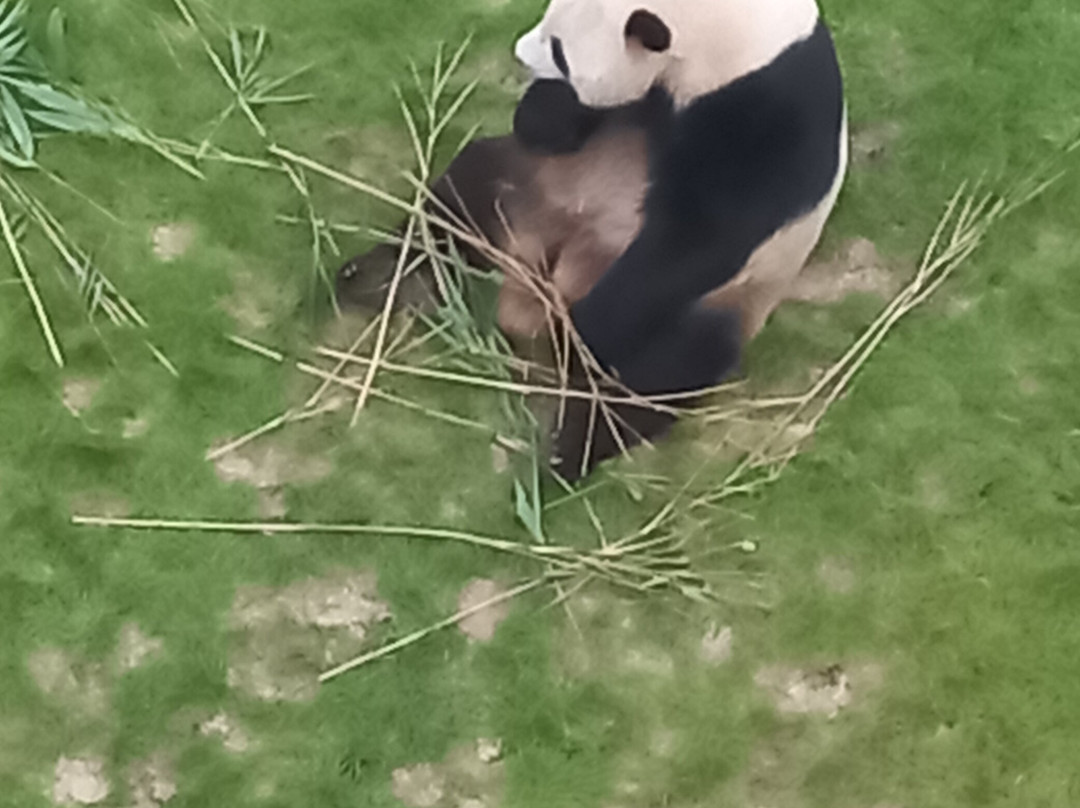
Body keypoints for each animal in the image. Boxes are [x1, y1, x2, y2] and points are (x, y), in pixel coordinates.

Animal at [337, 0, 848, 481]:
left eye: (559, 49)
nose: (520, 54)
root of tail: (554, 264)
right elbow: (541, 123)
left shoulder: (772, 101)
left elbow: (708, 232)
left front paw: (580, 331)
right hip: (532, 181)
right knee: (458, 199)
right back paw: (377, 278)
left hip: (713, 303)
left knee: (659, 373)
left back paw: (567, 450)